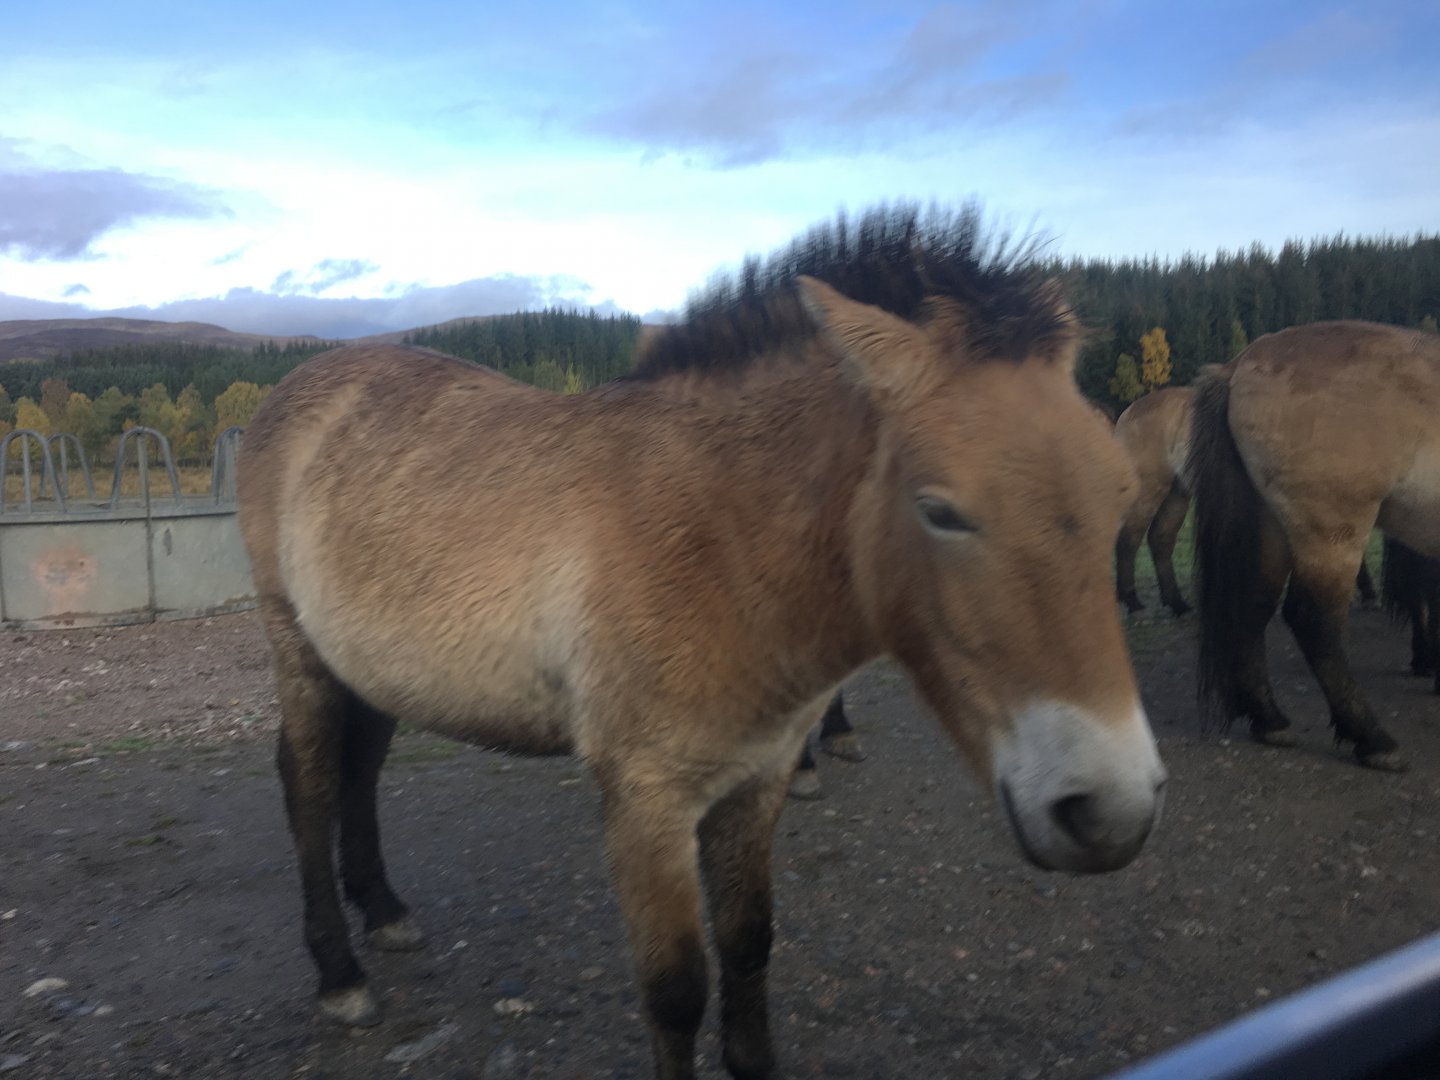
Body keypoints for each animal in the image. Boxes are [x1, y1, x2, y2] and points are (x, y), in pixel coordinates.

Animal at [236, 206, 1165, 1080]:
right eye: (940, 510)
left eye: (1120, 493)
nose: (1111, 811)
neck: (713, 538)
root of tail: (304, 385)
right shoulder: (646, 802)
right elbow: (677, 991)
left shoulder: (758, 778)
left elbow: (750, 945)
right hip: (299, 651)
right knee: (309, 786)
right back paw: (340, 974)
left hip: (371, 667)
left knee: (359, 770)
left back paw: (386, 912)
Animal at [1113, 385, 1377, 617]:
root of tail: (1128, 412)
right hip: (1150, 490)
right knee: (1129, 541)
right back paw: (1133, 603)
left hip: (1177, 493)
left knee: (1161, 539)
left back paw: (1178, 605)